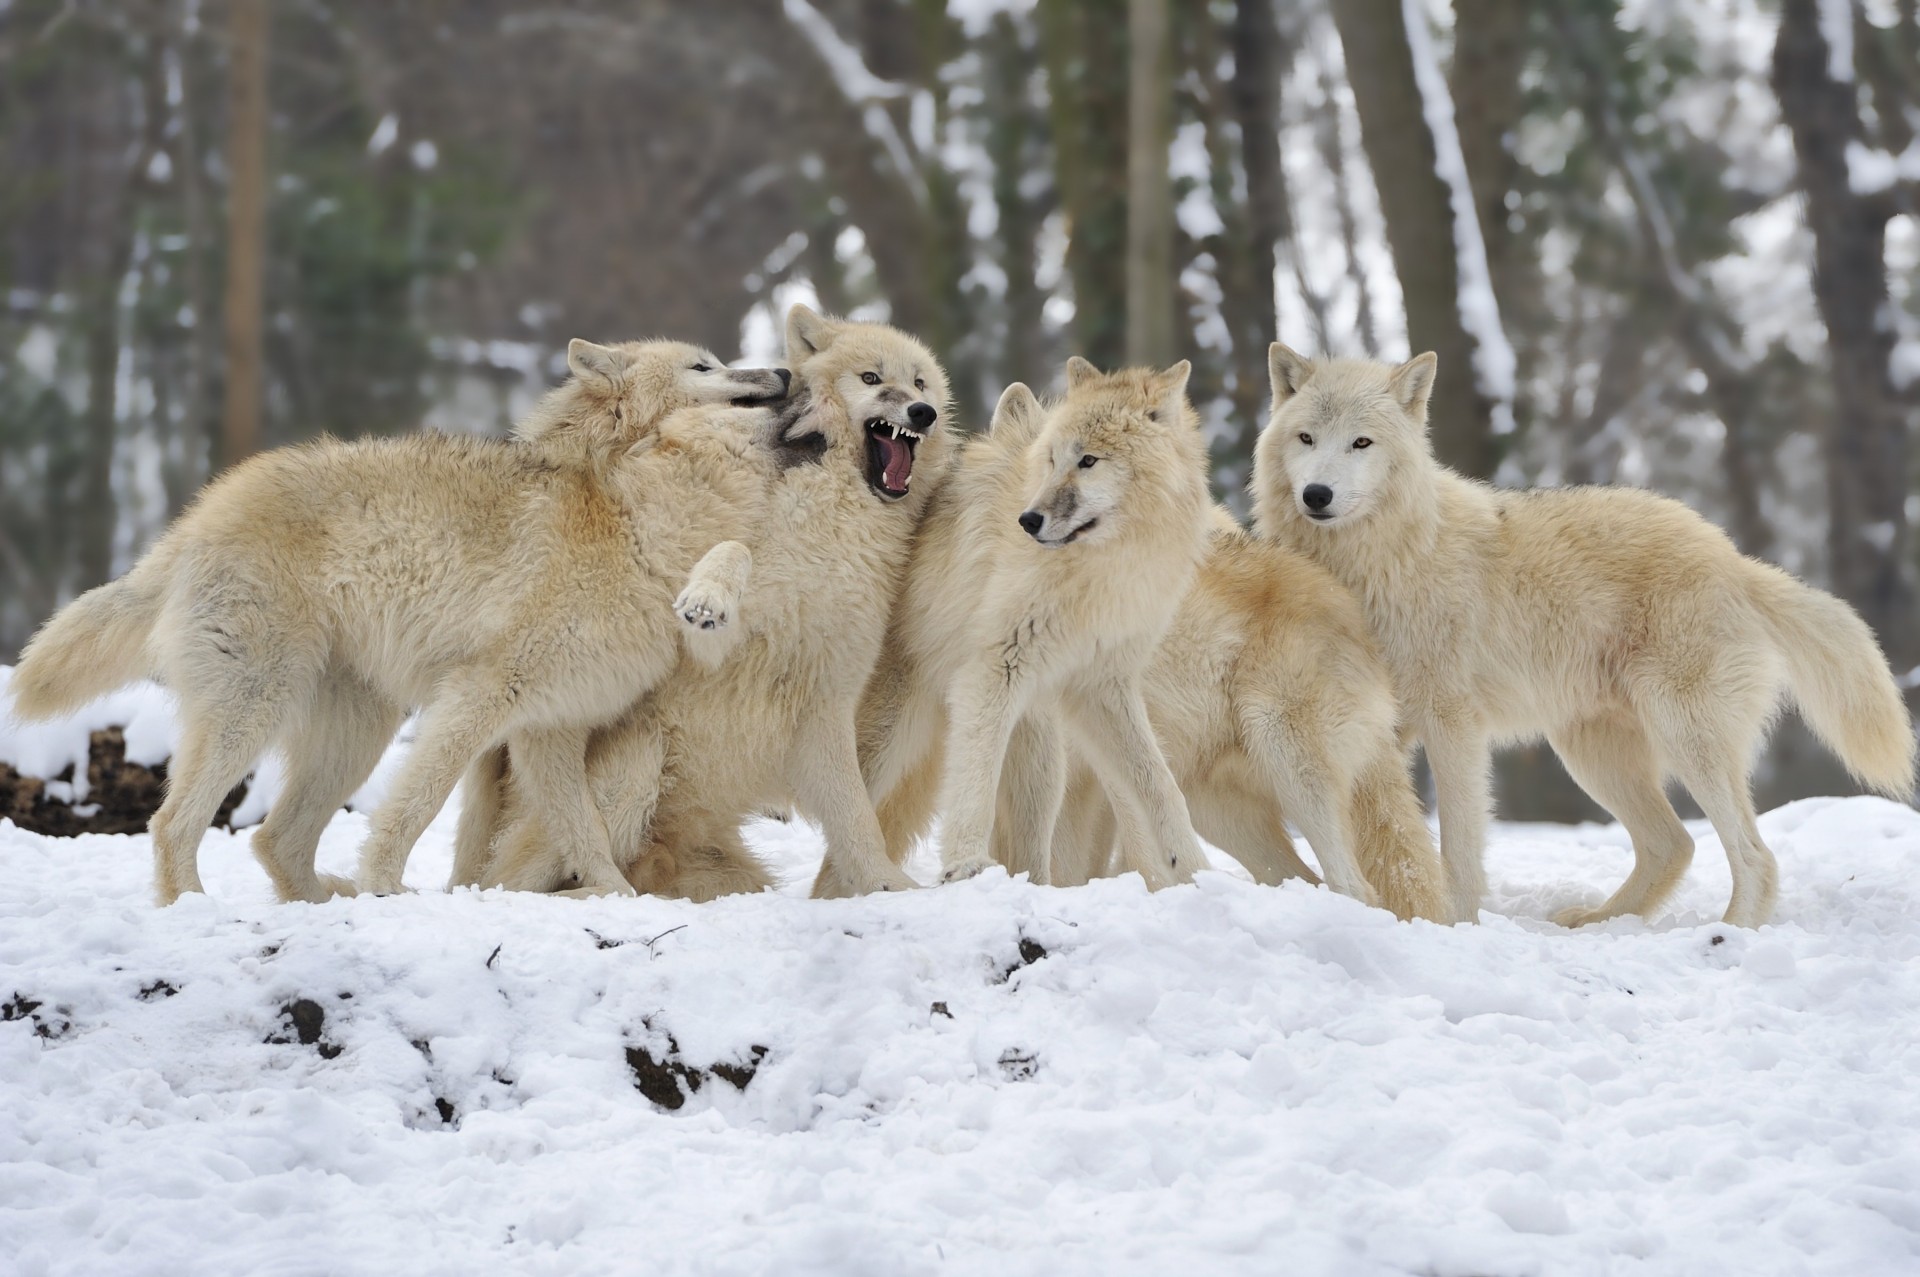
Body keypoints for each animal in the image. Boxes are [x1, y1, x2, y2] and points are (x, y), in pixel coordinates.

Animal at [7, 341, 790, 904]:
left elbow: (586, 833)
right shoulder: (481, 697)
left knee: (274, 840)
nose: (784, 371)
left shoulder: (550, 729)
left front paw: (618, 899)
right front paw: (386, 884)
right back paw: (199, 911)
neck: (630, 526)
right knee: (174, 824)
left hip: (355, 731)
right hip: (257, 710)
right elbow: (419, 804)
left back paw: (324, 902)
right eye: (705, 366)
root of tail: (193, 520)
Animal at [456, 305, 954, 900]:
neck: (833, 518)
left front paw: (887, 886)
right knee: (519, 882)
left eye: (921, 383)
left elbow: (858, 820)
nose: (922, 412)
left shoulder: (827, 695)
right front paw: (707, 598)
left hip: (731, 872)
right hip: (637, 761)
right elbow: (734, 552)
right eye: (872, 378)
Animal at [846, 359, 1214, 893]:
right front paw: (966, 865)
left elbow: (1162, 786)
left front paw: (1195, 871)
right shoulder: (994, 670)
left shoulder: (1102, 685)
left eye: (1089, 461)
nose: (1028, 520)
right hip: (887, 741)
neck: (1103, 568)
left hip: (1041, 753)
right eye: (1053, 460)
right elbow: (974, 781)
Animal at [1253, 344, 1915, 928]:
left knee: (1755, 856)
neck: (1377, 563)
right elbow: (1383, 837)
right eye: (1306, 439)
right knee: (1674, 844)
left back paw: (1728, 936)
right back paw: (1600, 923)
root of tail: (1735, 559)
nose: (1317, 495)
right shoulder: (1377, 728)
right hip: (1592, 755)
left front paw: (1456, 925)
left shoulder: (1451, 724)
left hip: (1682, 738)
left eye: (1361, 443)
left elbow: (1458, 848)